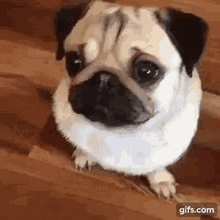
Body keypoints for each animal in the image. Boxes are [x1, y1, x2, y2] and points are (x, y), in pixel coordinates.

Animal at [52, 0, 207, 199]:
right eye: (74, 62)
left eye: (146, 71)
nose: (104, 78)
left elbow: (156, 165)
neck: (121, 133)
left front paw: (160, 180)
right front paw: (84, 155)